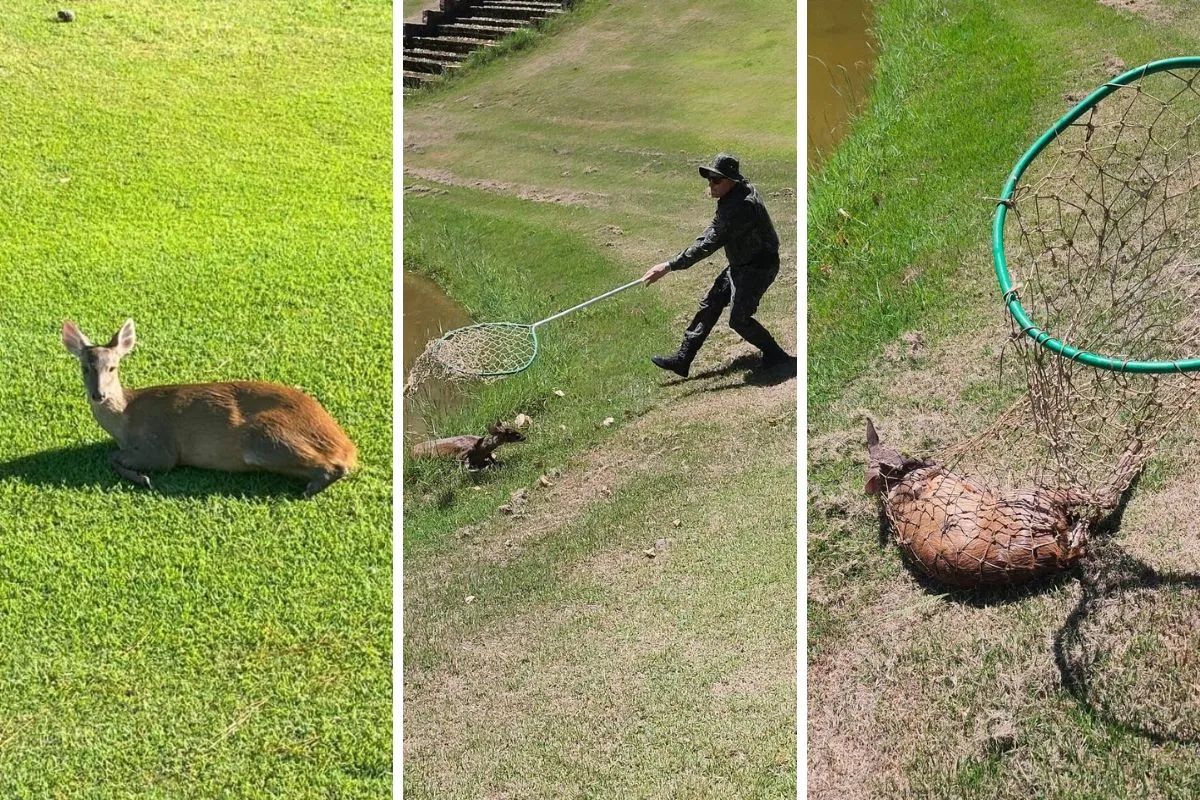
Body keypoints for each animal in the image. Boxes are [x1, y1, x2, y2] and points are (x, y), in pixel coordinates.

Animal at [61, 319, 357, 498]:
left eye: (113, 367)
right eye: (85, 367)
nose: (98, 394)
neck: (125, 421)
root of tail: (347, 445)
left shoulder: (161, 446)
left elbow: (113, 456)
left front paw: (142, 478)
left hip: (266, 438)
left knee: (335, 466)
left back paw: (309, 489)